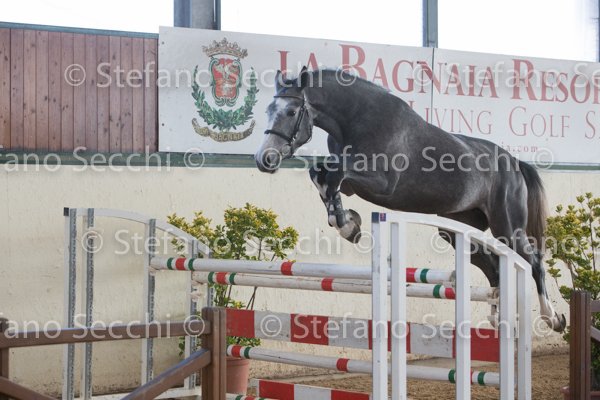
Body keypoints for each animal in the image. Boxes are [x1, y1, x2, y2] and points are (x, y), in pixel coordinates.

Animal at [254, 67, 566, 332]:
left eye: (291, 111)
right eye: (269, 110)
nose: (264, 159)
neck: (355, 120)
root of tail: (514, 163)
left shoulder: (382, 184)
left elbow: (334, 174)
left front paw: (347, 226)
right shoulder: (353, 182)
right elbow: (321, 175)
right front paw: (349, 223)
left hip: (508, 227)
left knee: (534, 261)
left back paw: (552, 318)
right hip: (457, 229)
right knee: (492, 265)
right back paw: (497, 316)